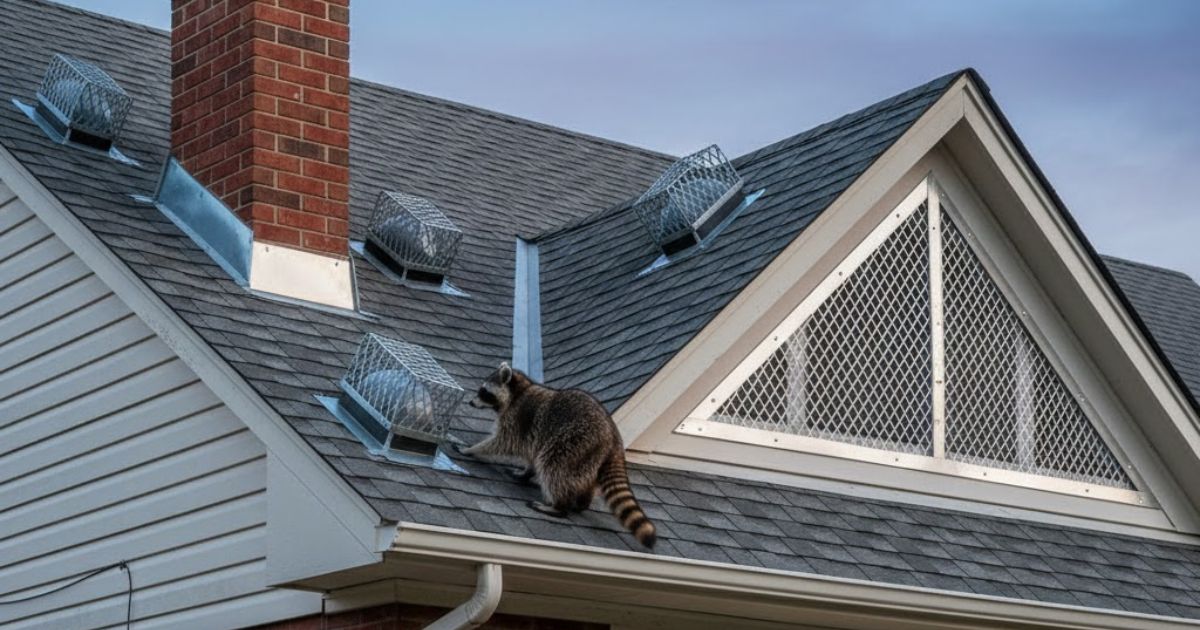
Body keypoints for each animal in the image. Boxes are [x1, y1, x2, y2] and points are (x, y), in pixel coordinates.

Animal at [461, 362, 657, 548]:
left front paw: (472, 449)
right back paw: (582, 501)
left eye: (483, 391)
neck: (518, 391)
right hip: (591, 457)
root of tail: (614, 438)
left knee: (552, 466)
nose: (470, 403)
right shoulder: (533, 436)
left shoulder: (520, 417)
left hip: (576, 442)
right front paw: (526, 472)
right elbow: (532, 455)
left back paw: (558, 506)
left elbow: (504, 442)